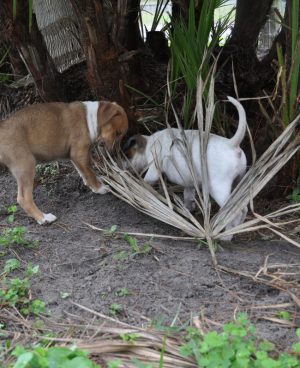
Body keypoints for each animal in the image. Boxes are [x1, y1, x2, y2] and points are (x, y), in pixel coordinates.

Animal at [123, 95, 247, 239]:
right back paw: (237, 229)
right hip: (238, 182)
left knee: (235, 212)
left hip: (218, 189)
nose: (121, 163)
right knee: (243, 209)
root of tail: (231, 144)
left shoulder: (153, 169)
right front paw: (188, 210)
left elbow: (146, 181)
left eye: (128, 155)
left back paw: (226, 236)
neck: (149, 142)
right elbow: (188, 195)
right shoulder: (190, 183)